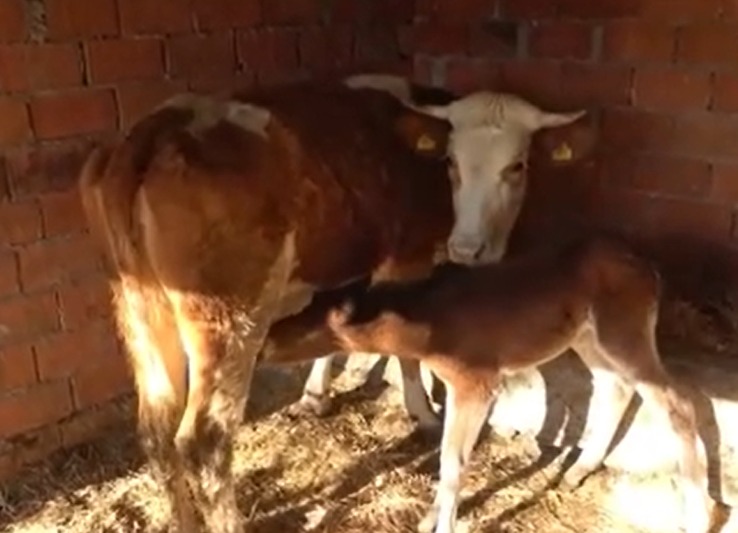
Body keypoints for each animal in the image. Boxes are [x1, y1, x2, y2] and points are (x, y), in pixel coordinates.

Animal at [79, 76, 588, 532]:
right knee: (205, 439)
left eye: (517, 166)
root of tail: (154, 129)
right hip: (228, 317)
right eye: (451, 162)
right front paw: (421, 412)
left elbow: (334, 331)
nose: (468, 248)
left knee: (156, 427)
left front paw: (315, 395)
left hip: (140, 307)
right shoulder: (405, 260)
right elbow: (406, 356)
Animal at [326, 236, 708, 532]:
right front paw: (428, 517)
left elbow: (453, 459)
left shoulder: (477, 381)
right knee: (617, 386)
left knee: (676, 401)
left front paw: (442, 523)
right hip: (586, 337)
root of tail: (651, 270)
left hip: (623, 329)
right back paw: (578, 470)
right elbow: (449, 453)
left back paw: (697, 517)